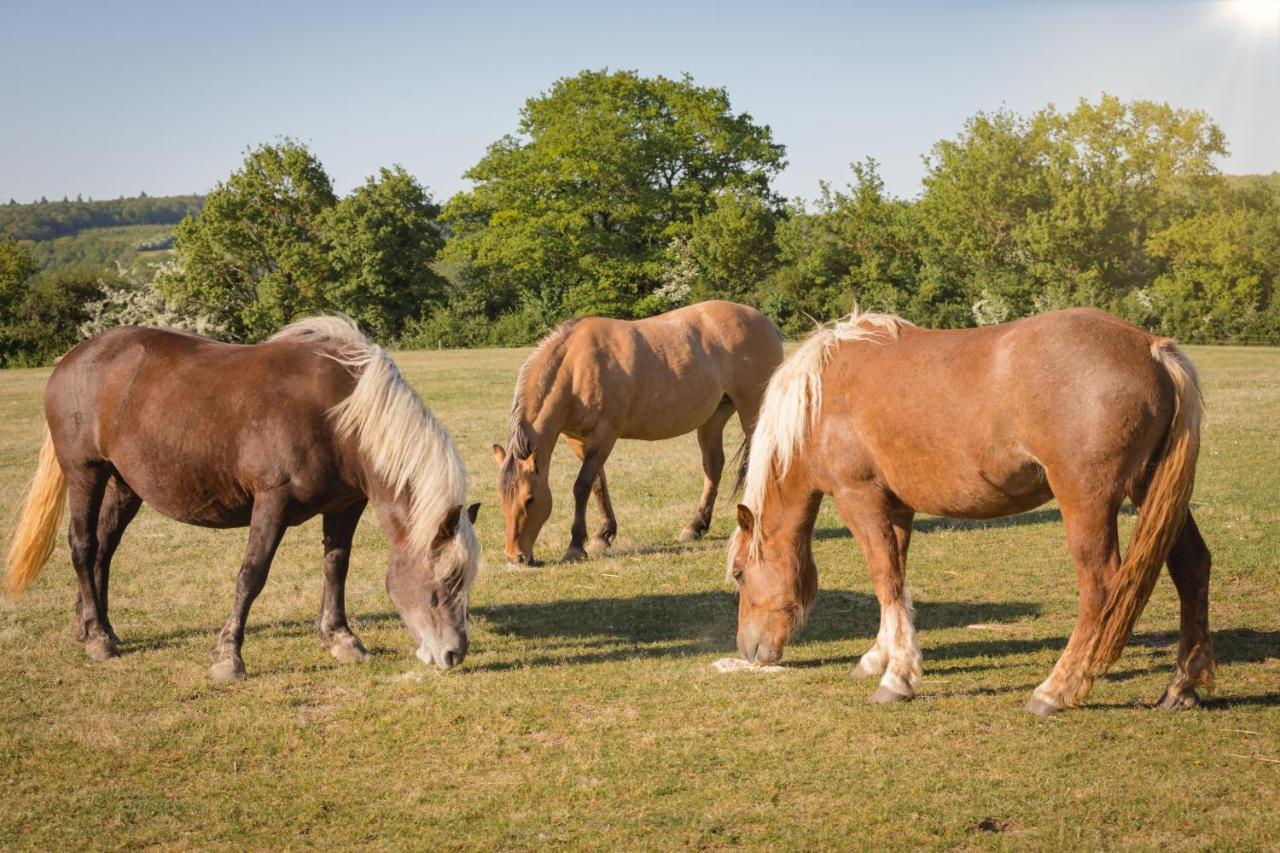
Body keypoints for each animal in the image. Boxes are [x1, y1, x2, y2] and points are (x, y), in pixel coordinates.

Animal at [2, 313, 481, 676]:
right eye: (440, 586)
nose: (453, 654)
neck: (339, 416)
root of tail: (73, 358)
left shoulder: (346, 506)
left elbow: (336, 567)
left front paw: (341, 638)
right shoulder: (272, 502)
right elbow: (252, 575)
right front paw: (228, 656)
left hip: (123, 485)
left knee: (104, 550)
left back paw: (96, 627)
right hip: (85, 473)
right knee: (83, 547)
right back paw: (99, 639)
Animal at [494, 298, 783, 563]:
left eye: (530, 499)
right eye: (501, 499)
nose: (515, 557)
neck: (574, 367)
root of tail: (766, 323)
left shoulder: (604, 435)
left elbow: (582, 486)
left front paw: (576, 546)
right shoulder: (577, 439)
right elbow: (598, 485)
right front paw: (603, 535)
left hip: (752, 412)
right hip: (714, 417)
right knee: (713, 466)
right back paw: (695, 526)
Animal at [732, 306, 1208, 712]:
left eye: (738, 574)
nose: (748, 651)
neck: (821, 397)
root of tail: (1151, 349)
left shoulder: (859, 498)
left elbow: (884, 579)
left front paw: (897, 678)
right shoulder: (897, 508)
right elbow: (896, 581)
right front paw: (879, 658)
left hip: (1088, 502)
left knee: (1102, 588)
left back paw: (1057, 689)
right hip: (1152, 491)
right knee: (1192, 567)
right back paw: (1182, 687)